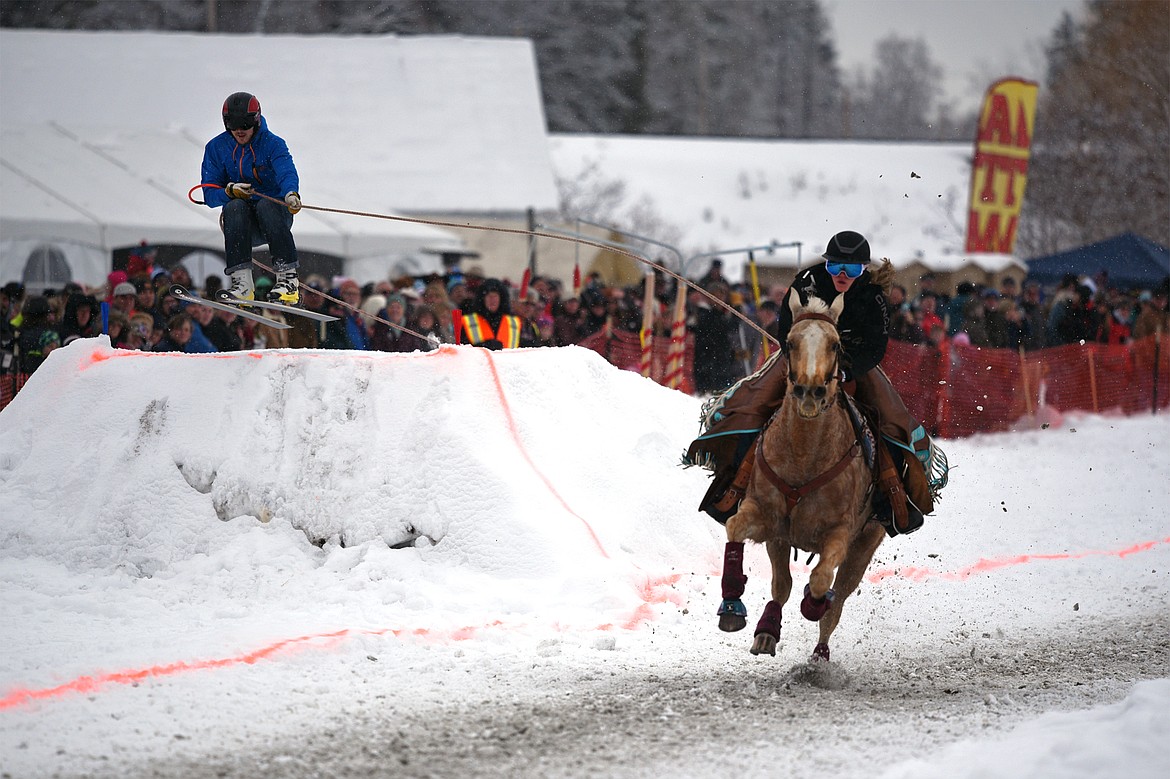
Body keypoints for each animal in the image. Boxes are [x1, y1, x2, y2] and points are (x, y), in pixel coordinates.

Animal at [716, 294, 879, 659]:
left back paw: (820, 651)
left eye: (835, 344)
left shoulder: (841, 532)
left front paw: (814, 604)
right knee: (782, 586)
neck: (806, 457)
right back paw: (766, 631)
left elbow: (820, 580)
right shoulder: (768, 518)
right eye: (790, 342)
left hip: (867, 542)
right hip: (780, 540)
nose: (809, 391)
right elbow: (735, 529)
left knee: (837, 600)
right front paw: (732, 607)